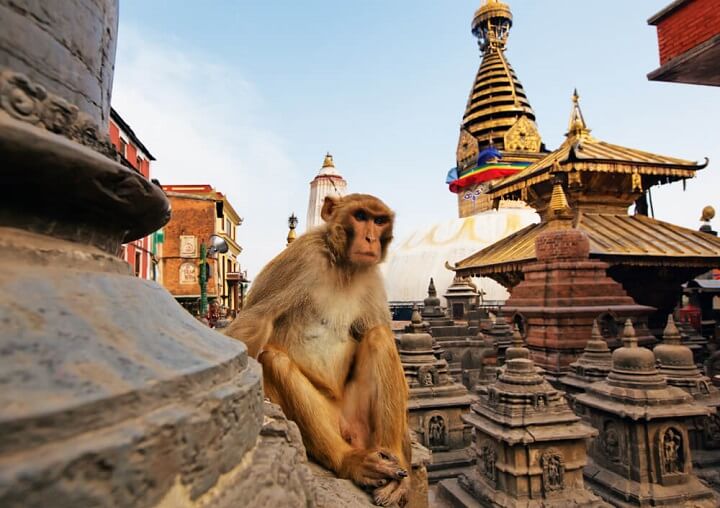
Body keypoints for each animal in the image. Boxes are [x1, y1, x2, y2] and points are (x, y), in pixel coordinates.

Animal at [225, 193, 411, 507]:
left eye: (379, 220)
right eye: (360, 217)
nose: (371, 238)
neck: (343, 266)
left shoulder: (371, 276)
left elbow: (376, 330)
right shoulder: (302, 257)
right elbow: (255, 322)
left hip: (360, 418)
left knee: (378, 336)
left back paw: (393, 458)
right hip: (329, 419)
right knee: (274, 359)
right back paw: (349, 461)